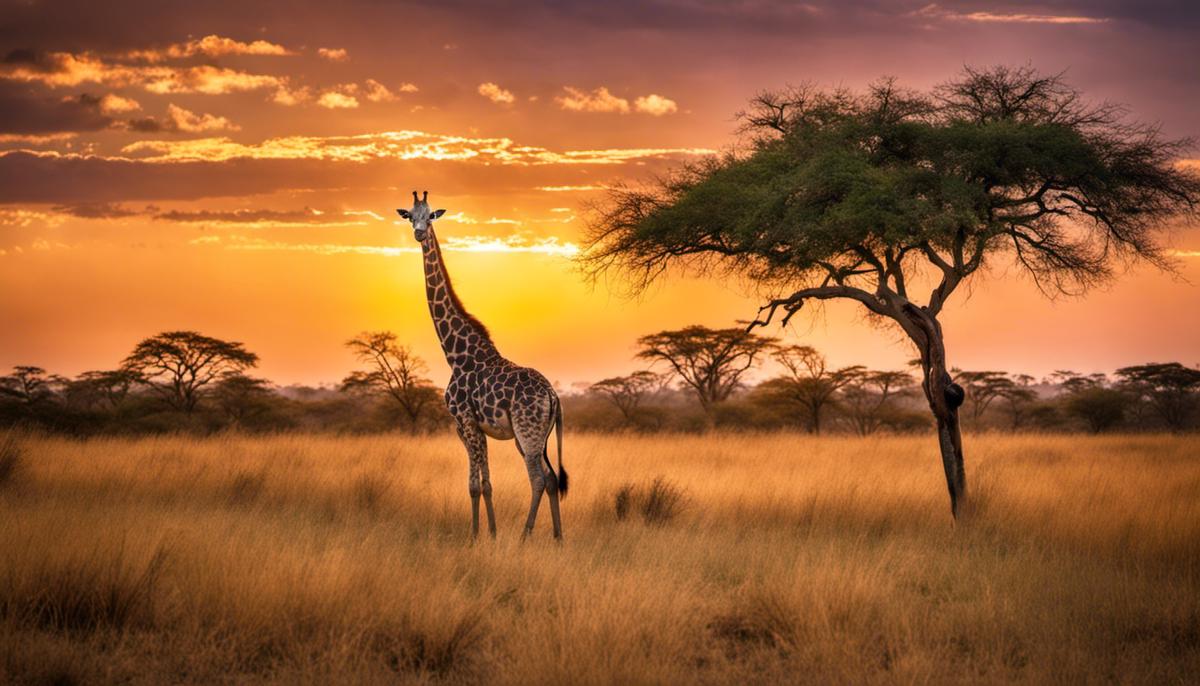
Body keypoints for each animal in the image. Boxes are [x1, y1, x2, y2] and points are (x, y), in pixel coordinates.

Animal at [396, 190, 568, 539]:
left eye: (430, 216)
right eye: (409, 216)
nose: (419, 233)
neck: (455, 352)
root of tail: (553, 395)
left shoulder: (465, 421)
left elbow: (475, 485)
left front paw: (477, 536)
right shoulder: (470, 428)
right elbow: (485, 483)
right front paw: (490, 532)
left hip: (527, 432)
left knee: (538, 479)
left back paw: (525, 537)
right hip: (536, 436)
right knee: (552, 478)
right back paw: (558, 538)